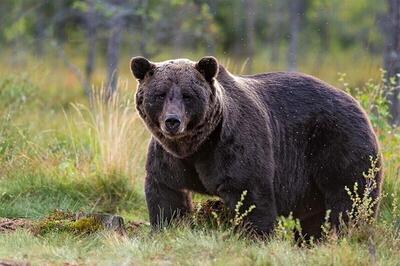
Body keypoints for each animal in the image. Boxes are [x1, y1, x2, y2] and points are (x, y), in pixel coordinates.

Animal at [130, 55, 382, 237]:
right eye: (160, 94)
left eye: (187, 95)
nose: (172, 121)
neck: (197, 145)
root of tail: (358, 105)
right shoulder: (169, 157)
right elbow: (167, 194)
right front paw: (166, 228)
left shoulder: (232, 145)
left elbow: (249, 194)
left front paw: (255, 236)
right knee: (316, 216)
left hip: (337, 143)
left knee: (350, 197)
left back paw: (345, 234)